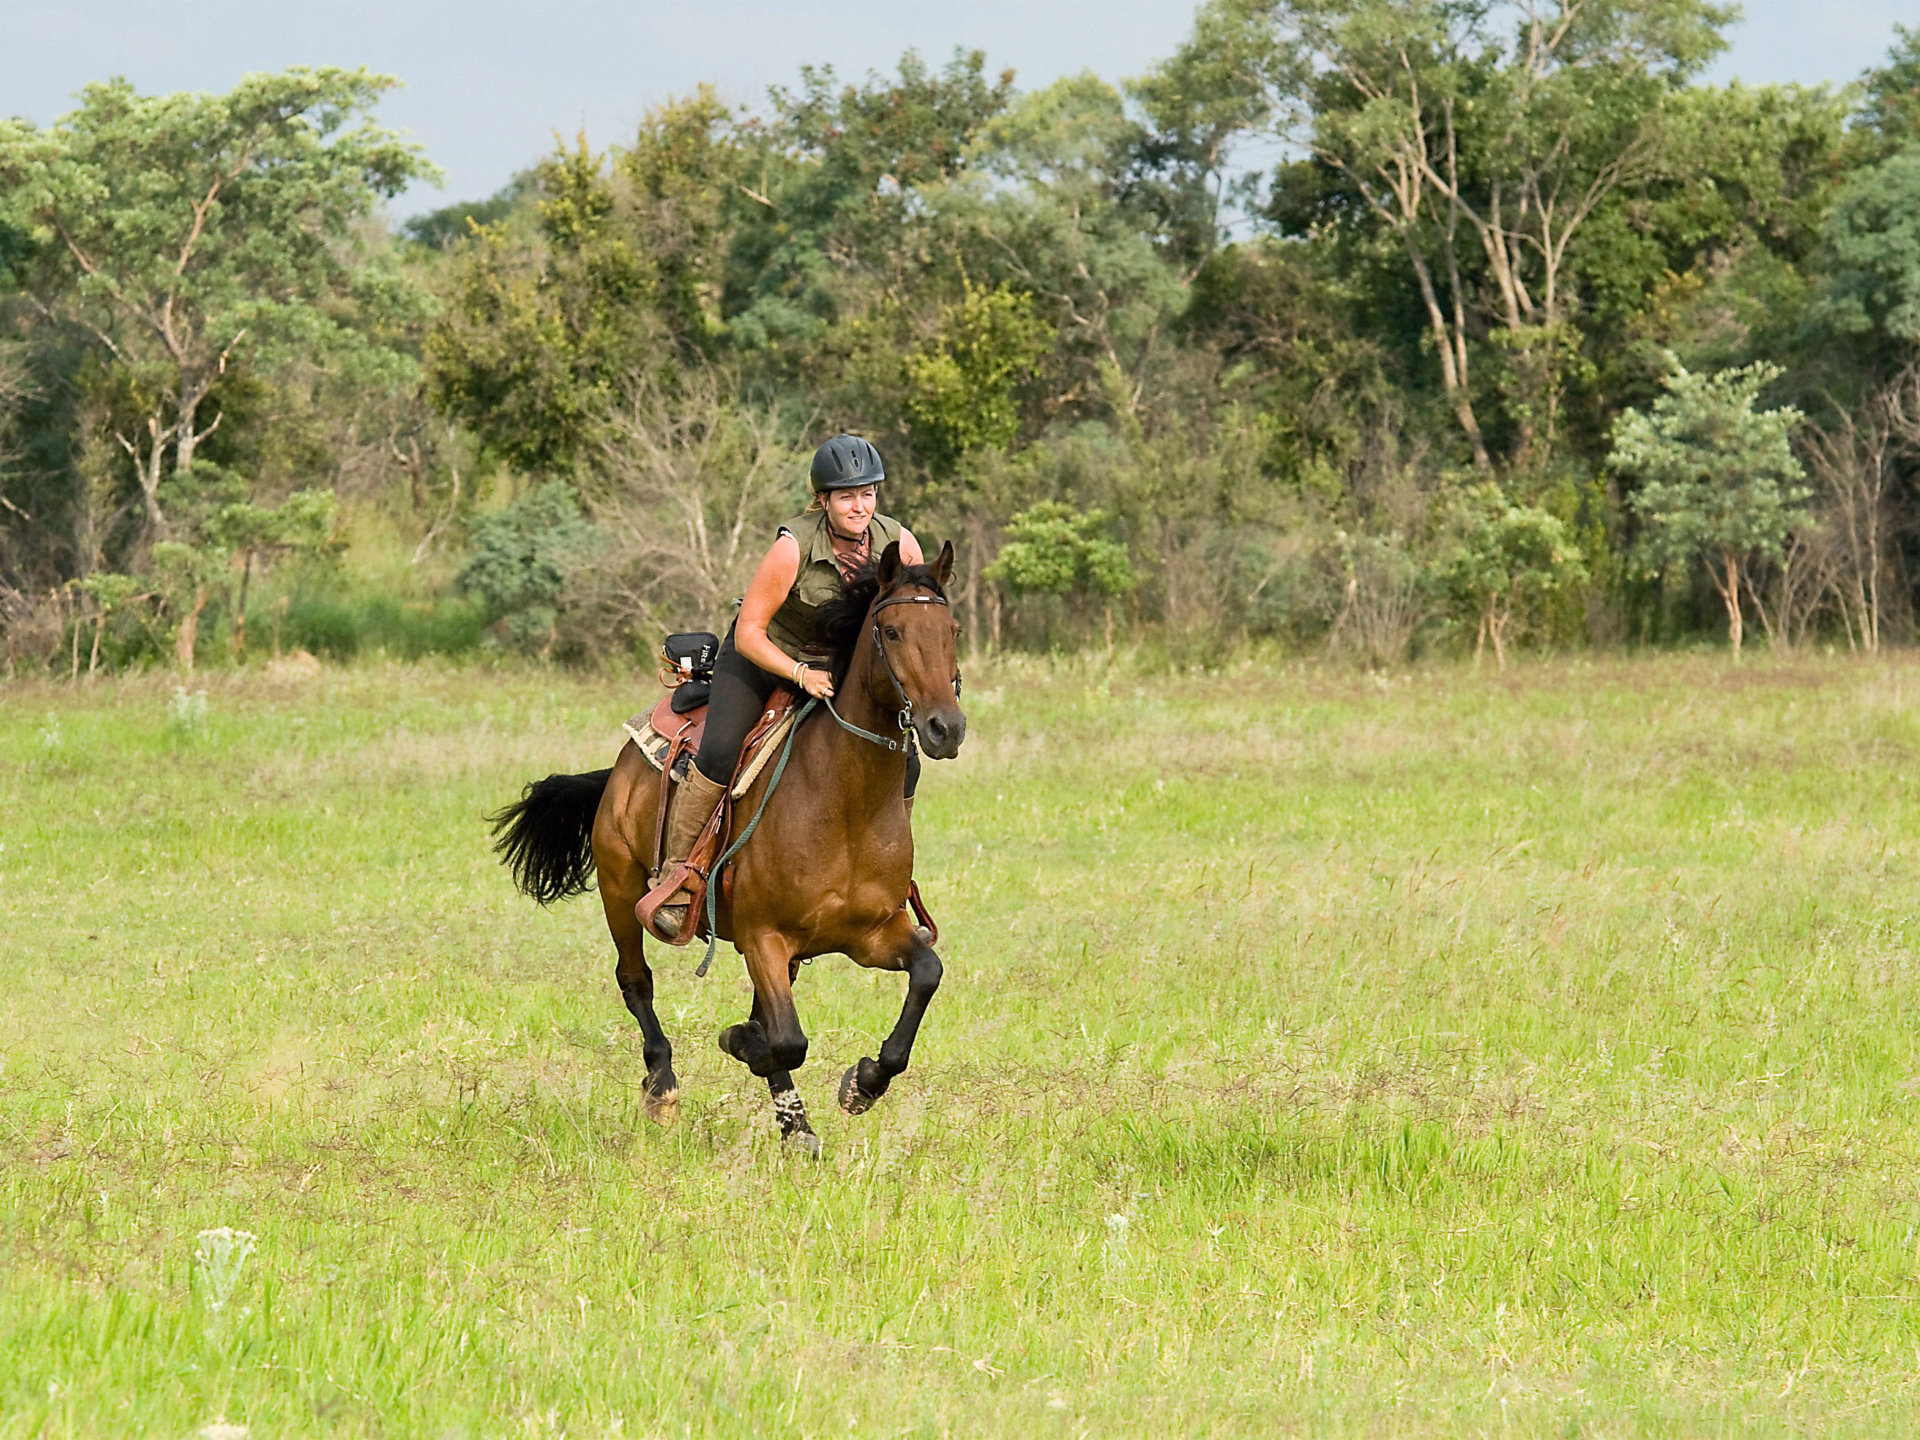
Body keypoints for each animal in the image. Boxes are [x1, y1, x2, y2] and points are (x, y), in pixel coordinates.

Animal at [487, 541, 966, 1150]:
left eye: (952, 629)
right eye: (893, 631)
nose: (945, 728)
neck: (843, 803)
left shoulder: (873, 934)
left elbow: (925, 975)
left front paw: (863, 1083)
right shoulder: (764, 937)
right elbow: (785, 1040)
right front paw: (743, 1043)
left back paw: (795, 1127)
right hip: (620, 889)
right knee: (636, 982)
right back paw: (664, 1085)